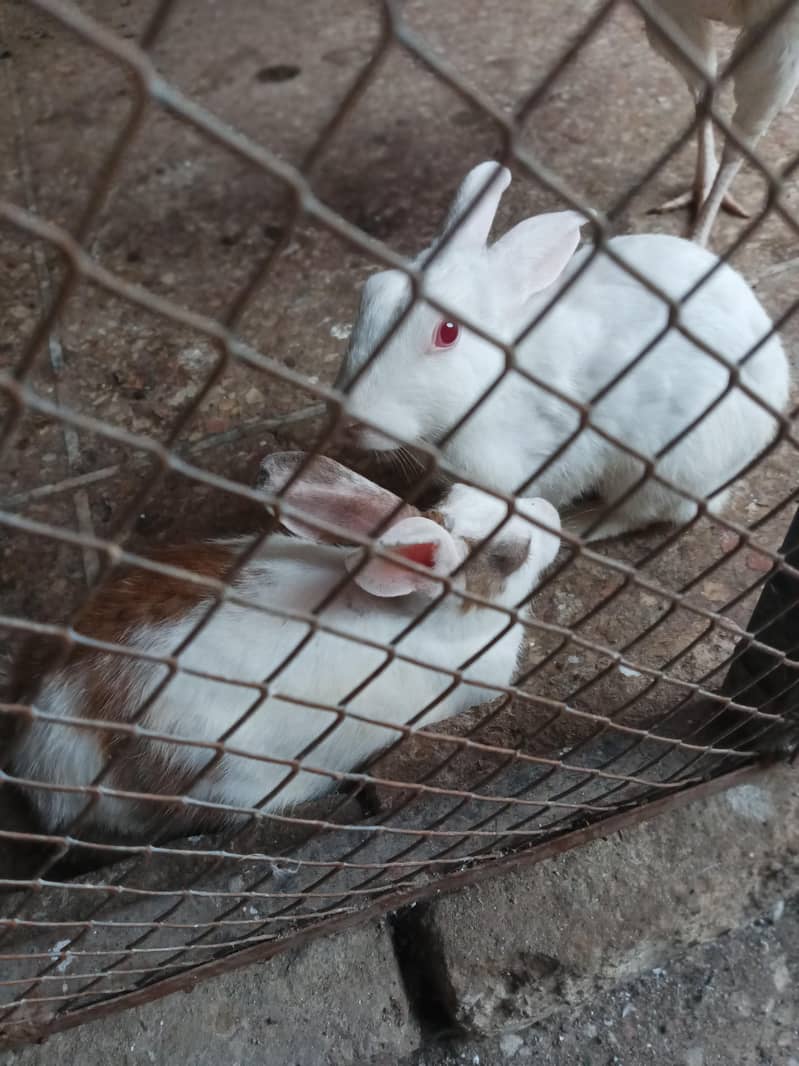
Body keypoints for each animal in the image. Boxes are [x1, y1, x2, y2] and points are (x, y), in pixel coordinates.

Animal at [335, 161, 790, 542]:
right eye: (373, 289)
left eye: (447, 332)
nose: (348, 421)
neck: (495, 383)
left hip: (660, 471)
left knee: (640, 515)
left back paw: (582, 525)